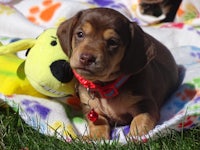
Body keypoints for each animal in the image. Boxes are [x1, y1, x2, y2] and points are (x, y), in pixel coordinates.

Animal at [57, 7, 179, 139]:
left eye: (112, 42)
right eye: (80, 34)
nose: (86, 58)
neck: (105, 86)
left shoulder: (145, 103)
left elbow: (141, 119)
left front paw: (135, 136)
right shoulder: (89, 107)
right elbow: (97, 123)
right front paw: (96, 137)